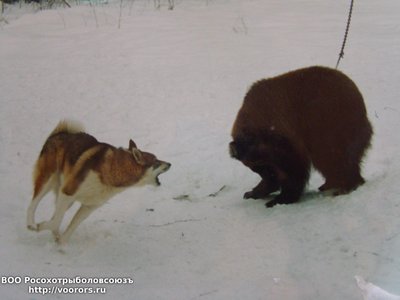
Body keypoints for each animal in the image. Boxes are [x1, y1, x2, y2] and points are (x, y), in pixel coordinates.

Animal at [26, 120, 170, 245]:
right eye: (157, 162)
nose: (170, 164)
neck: (114, 169)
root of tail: (59, 133)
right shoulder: (68, 192)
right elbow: (55, 221)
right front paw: (39, 227)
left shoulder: (89, 206)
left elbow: (70, 225)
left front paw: (61, 245)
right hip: (48, 181)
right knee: (34, 204)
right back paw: (31, 224)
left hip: (65, 198)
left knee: (55, 215)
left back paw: (54, 235)